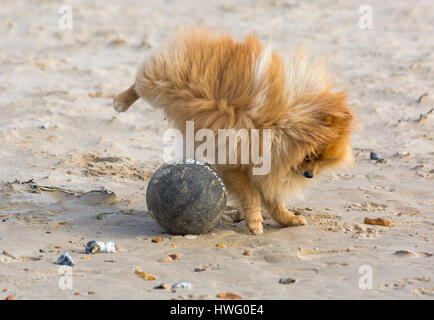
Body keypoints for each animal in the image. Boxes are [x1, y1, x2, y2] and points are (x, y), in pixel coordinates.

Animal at [113, 27, 354, 235]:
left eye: (320, 160)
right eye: (309, 156)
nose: (310, 175)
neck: (277, 128)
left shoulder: (264, 167)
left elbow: (272, 199)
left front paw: (288, 219)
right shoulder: (235, 161)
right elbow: (251, 195)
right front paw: (255, 222)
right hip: (158, 79)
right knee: (138, 84)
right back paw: (120, 102)